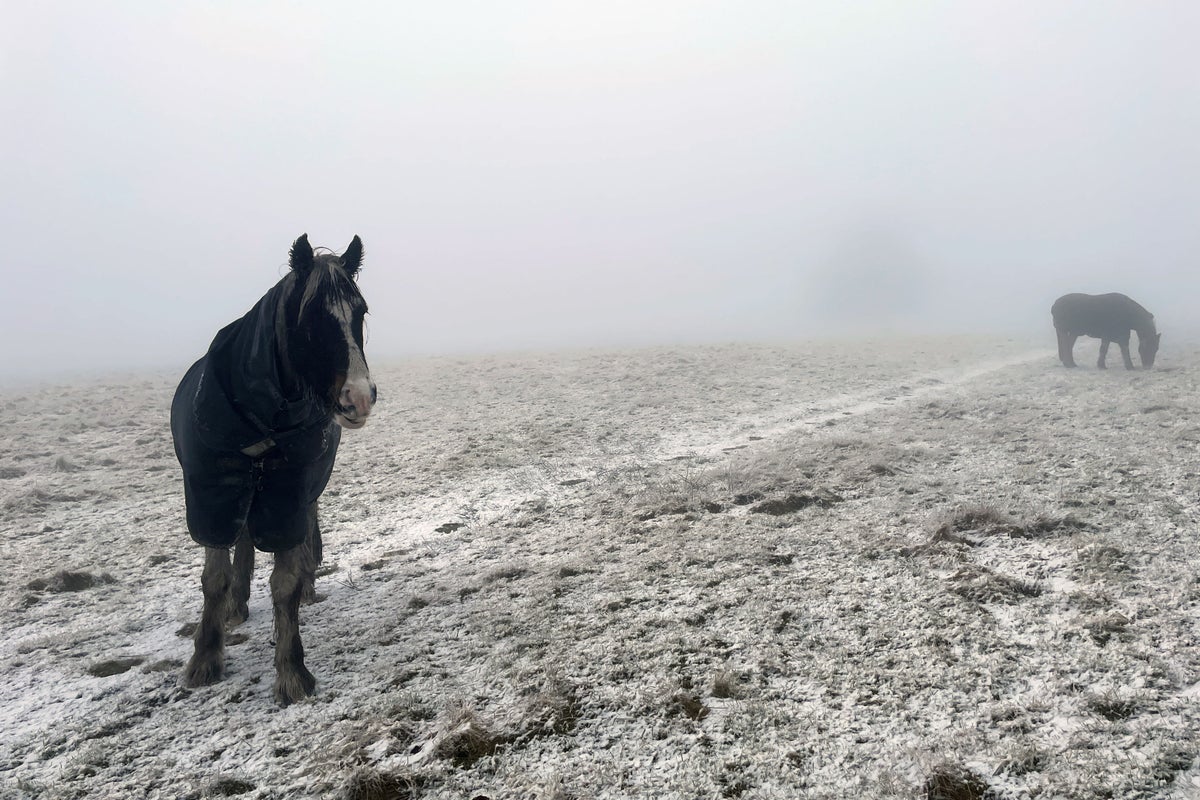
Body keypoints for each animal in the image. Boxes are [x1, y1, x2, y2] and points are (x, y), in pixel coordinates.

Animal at [169, 232, 374, 705]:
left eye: (360, 312)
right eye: (312, 318)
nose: (359, 397)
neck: (260, 412)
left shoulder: (289, 492)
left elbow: (286, 584)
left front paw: (292, 671)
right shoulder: (212, 490)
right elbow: (214, 577)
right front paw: (205, 657)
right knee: (244, 538)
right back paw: (237, 603)